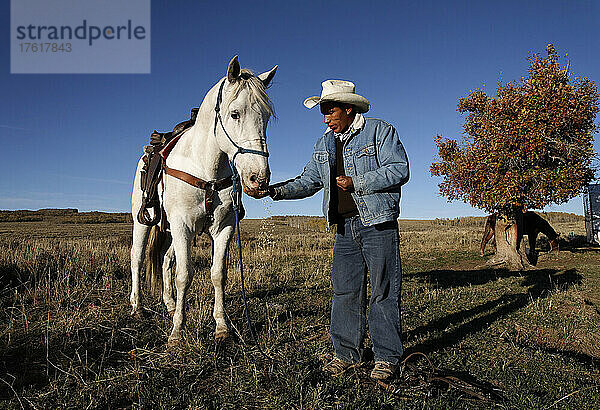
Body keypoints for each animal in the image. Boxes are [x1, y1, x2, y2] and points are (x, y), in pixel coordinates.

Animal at [130, 56, 278, 344]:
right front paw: (177, 332)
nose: (258, 178)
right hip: (143, 222)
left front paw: (221, 326)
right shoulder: (182, 225)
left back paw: (170, 303)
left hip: (169, 230)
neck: (205, 168)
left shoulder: (224, 227)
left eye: (265, 117)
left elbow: (218, 274)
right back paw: (137, 307)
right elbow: (184, 275)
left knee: (165, 260)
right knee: (138, 258)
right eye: (235, 113)